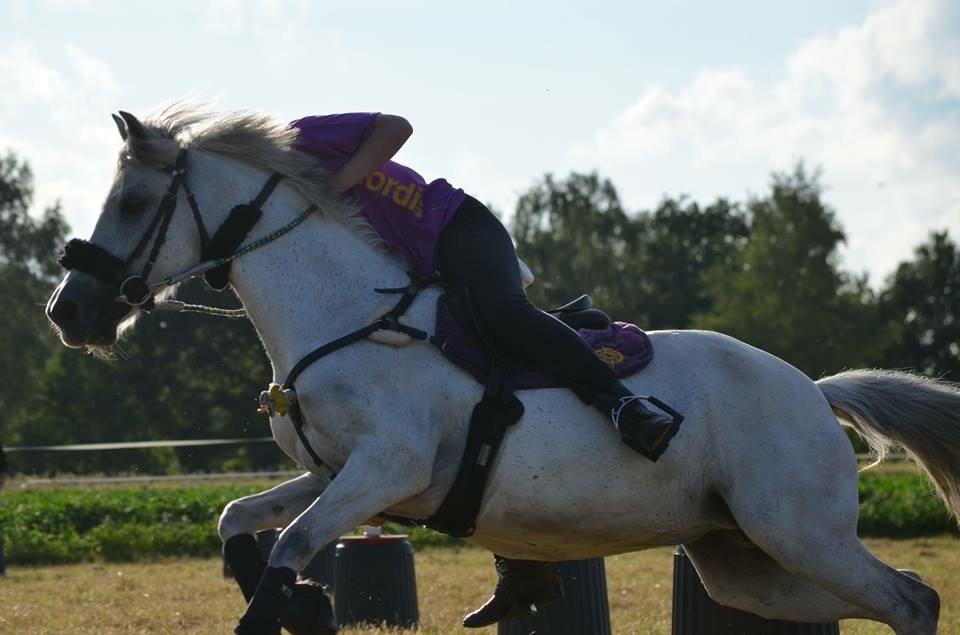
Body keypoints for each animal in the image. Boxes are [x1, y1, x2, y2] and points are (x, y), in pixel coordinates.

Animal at [47, 107, 960, 632]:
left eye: (133, 203)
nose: (67, 311)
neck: (337, 314)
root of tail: (812, 388)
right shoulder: (339, 473)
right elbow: (238, 521)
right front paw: (307, 601)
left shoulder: (385, 468)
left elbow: (290, 549)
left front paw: (296, 598)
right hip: (747, 561)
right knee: (910, 596)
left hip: (796, 531)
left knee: (908, 600)